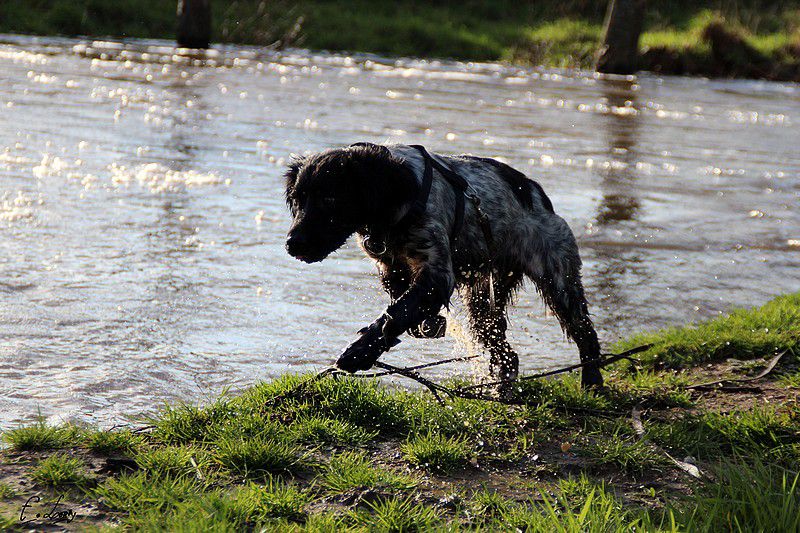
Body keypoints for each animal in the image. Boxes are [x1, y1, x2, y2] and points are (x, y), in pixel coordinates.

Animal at [284, 142, 603, 388]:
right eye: (297, 200)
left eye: (331, 198)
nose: (292, 244)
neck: (399, 194)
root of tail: (539, 195)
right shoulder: (392, 267)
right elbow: (401, 306)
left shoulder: (436, 275)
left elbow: (397, 313)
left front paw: (359, 351)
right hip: (482, 302)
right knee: (505, 352)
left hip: (558, 281)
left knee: (585, 333)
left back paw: (592, 381)